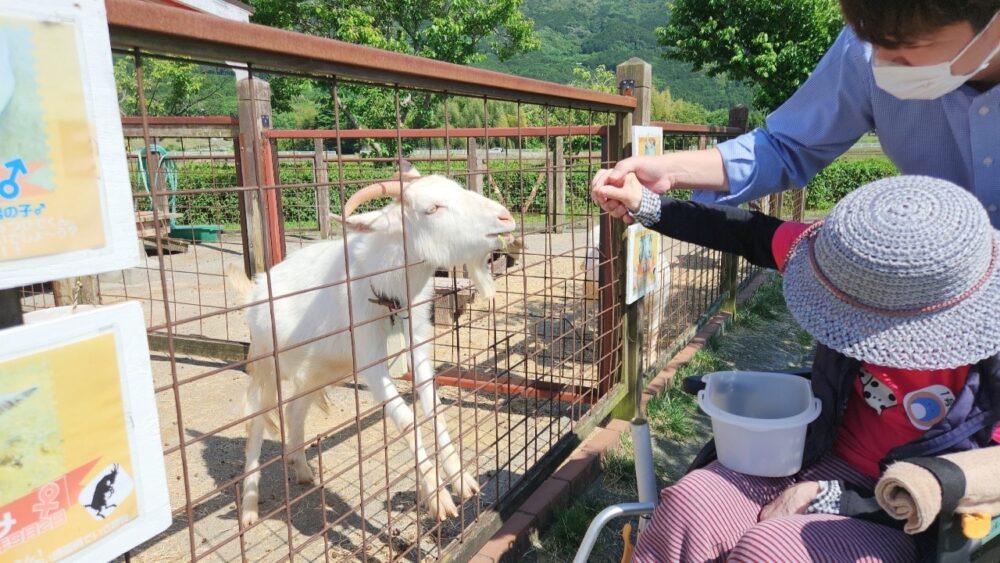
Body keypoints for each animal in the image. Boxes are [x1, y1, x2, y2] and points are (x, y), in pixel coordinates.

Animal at [227, 163, 516, 524]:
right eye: (432, 208)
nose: (505, 217)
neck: (385, 291)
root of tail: (254, 289)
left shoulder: (417, 342)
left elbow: (434, 408)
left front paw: (462, 480)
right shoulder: (369, 360)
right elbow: (406, 419)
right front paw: (438, 498)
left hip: (318, 369)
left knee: (295, 408)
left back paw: (302, 469)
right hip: (266, 363)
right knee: (255, 421)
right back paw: (249, 509)